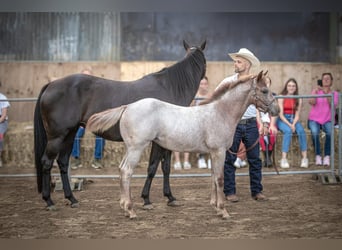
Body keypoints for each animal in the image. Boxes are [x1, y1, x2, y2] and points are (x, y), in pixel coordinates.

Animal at [34, 40, 206, 210]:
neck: (170, 88)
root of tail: (50, 85)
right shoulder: (157, 141)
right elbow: (152, 167)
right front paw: (147, 199)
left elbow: (166, 167)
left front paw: (169, 197)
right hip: (57, 137)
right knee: (47, 162)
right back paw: (49, 201)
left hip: (69, 134)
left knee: (62, 162)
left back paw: (72, 199)